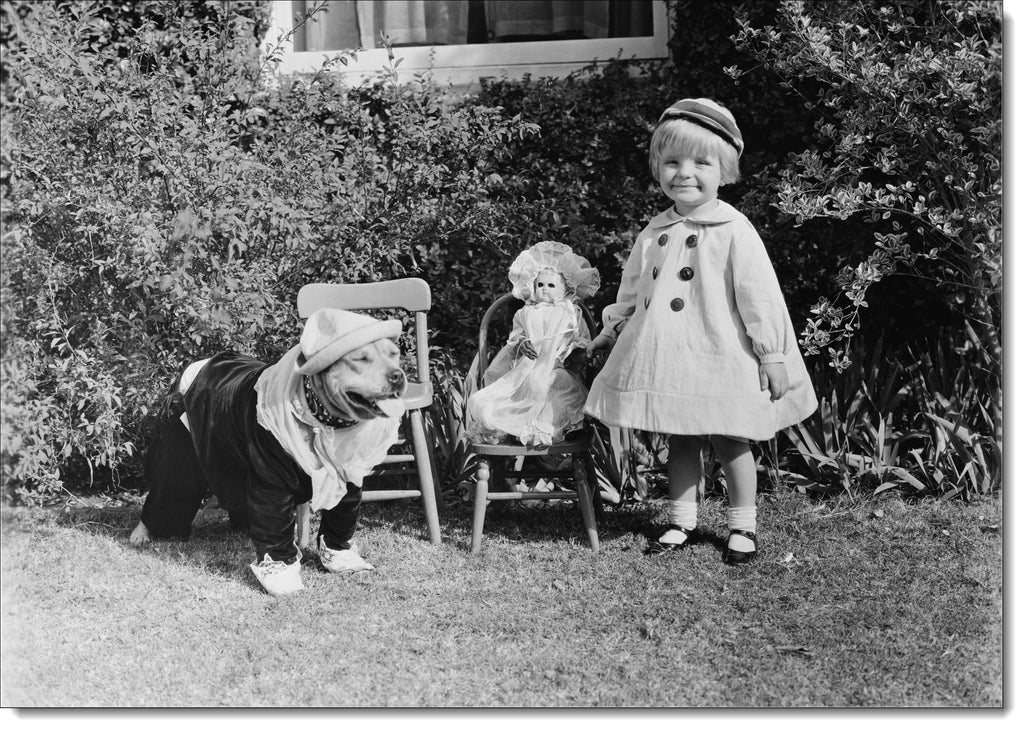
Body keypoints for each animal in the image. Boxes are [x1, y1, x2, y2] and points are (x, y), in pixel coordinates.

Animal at [129, 308, 407, 596]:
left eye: (394, 354)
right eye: (360, 359)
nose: (398, 375)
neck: (320, 417)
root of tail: (197, 366)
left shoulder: (348, 474)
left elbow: (342, 516)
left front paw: (342, 558)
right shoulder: (273, 481)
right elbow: (273, 525)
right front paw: (281, 575)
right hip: (181, 443)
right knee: (170, 488)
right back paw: (142, 532)